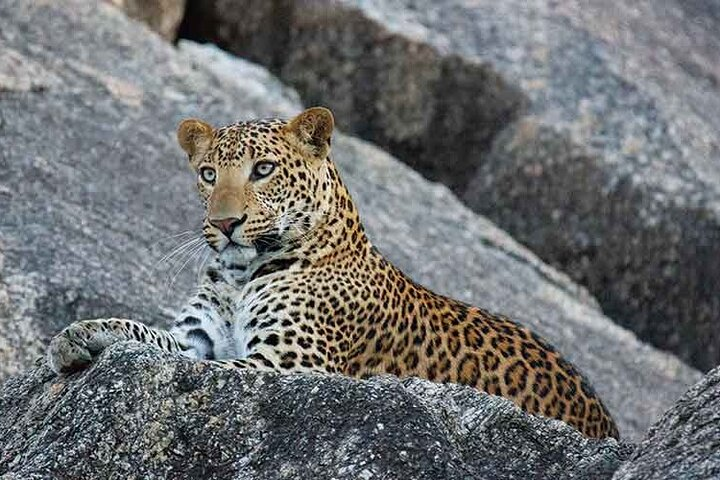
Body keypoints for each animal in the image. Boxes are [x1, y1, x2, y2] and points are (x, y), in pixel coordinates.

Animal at [46, 106, 620, 438]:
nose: (225, 223)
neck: (239, 274)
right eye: (208, 174)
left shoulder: (291, 364)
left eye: (263, 170)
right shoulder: (197, 337)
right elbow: (149, 339)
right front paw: (81, 333)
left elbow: (201, 370)